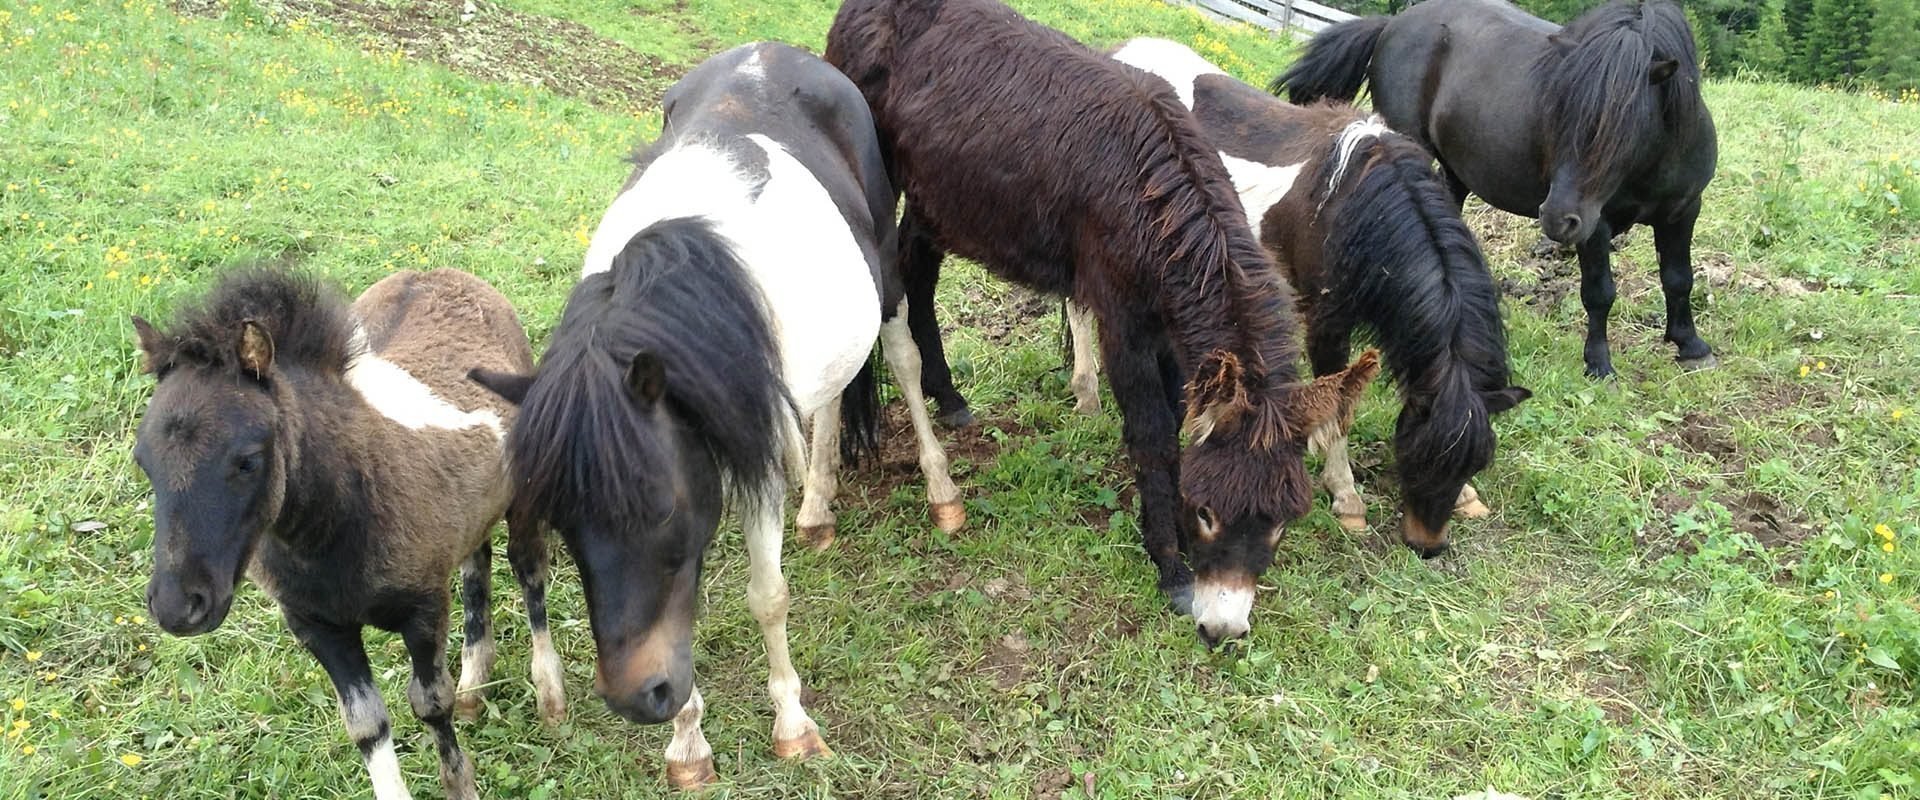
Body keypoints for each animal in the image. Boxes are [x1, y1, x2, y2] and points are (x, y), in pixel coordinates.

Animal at [129, 266, 556, 798]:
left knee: (528, 569)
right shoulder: (318, 627)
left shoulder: (423, 611)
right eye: (142, 460)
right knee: (477, 567)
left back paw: (551, 698)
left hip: (524, 497)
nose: (177, 606)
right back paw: (475, 688)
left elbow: (431, 702)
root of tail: (439, 271)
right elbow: (366, 725)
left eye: (247, 460)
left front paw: (461, 786)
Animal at [466, 42, 960, 786]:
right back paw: (817, 508)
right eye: (563, 522)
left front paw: (793, 726)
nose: (638, 698)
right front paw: (688, 744)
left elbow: (767, 596)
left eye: (661, 509)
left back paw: (940, 492)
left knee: (901, 359)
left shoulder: (751, 457)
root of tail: (774, 51)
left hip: (888, 284)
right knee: (830, 396)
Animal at [825, 0, 1382, 640]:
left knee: (919, 273)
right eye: (1207, 511)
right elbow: (1153, 433)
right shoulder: (1125, 323)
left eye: (1282, 521)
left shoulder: (1173, 331)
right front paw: (1170, 565)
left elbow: (1178, 421)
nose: (1222, 631)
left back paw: (950, 397)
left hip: (939, 196)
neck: (1157, 205)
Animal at [1282, 0, 1720, 377]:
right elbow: (1600, 292)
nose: (1557, 219)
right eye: (1559, 113)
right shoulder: (1596, 226)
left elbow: (1679, 278)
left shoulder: (1683, 211)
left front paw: (1690, 345)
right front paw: (1599, 363)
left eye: (1624, 126)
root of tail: (1392, 24)